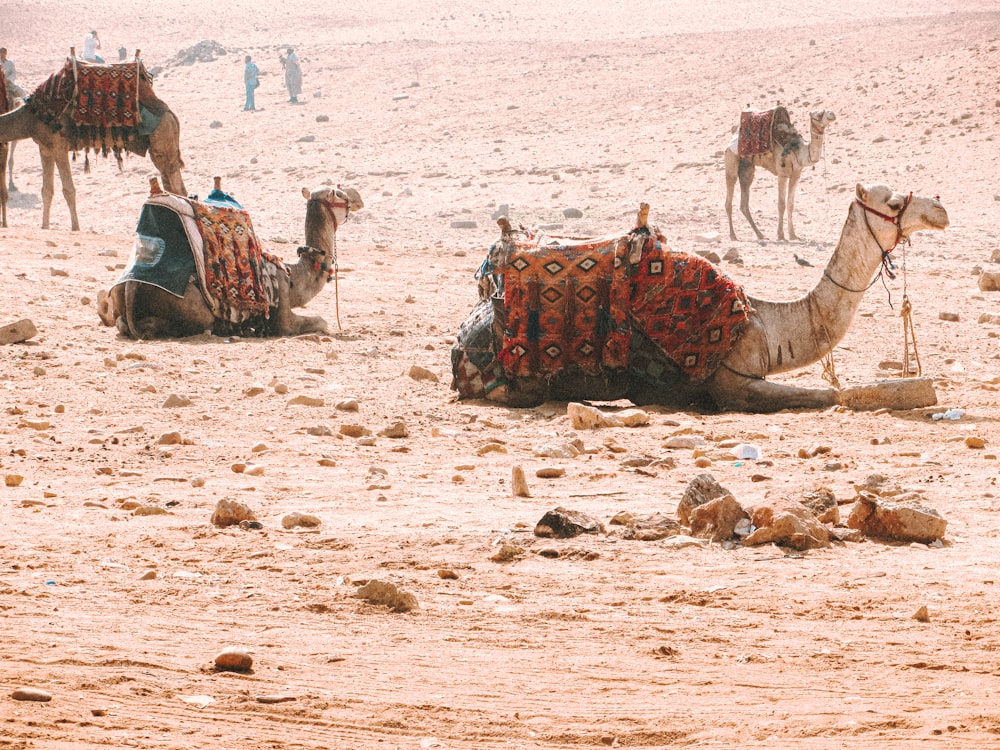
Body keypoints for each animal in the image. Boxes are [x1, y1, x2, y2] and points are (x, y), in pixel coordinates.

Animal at [0, 58, 186, 231]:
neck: (32, 116)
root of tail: (171, 115)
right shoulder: (45, 148)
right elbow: (47, 191)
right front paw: (45, 227)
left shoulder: (59, 146)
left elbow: (68, 190)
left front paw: (75, 228)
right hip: (158, 150)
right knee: (170, 184)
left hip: (164, 141)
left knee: (177, 187)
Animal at [96, 181, 364, 340]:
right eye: (340, 193)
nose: (358, 197)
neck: (292, 276)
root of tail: (131, 285)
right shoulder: (282, 317)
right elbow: (321, 321)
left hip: (120, 293)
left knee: (121, 322)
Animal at [458, 184, 948, 414]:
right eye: (893, 201)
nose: (940, 209)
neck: (763, 322)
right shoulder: (733, 383)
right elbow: (833, 394)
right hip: (516, 384)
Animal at [728, 108, 836, 242]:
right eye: (819, 114)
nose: (832, 114)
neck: (799, 150)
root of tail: (733, 136)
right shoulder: (782, 174)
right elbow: (781, 204)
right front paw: (780, 235)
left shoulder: (796, 175)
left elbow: (790, 205)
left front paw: (793, 235)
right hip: (731, 158)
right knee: (729, 196)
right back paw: (733, 236)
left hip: (747, 168)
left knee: (744, 201)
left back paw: (760, 235)